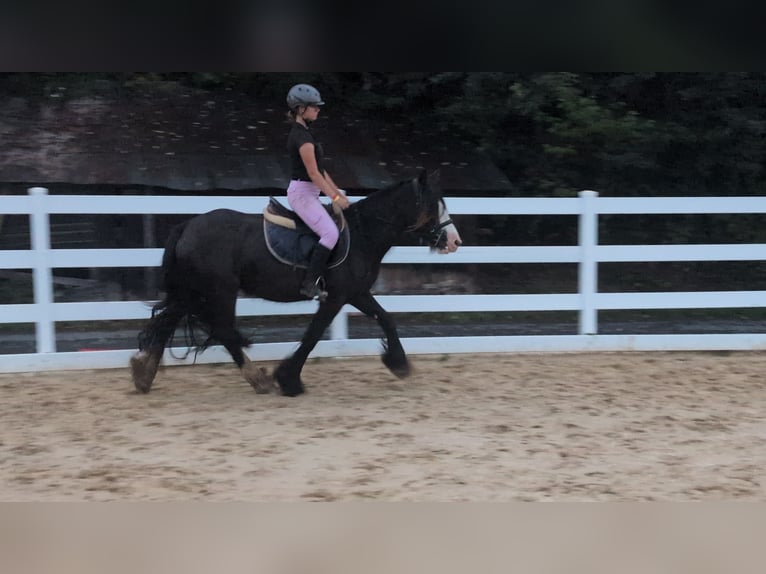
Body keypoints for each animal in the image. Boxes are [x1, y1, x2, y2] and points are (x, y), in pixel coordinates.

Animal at [130, 169, 462, 397]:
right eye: (433, 205)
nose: (454, 241)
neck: (363, 234)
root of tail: (187, 225)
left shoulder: (355, 293)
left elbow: (386, 318)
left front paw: (398, 363)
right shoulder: (336, 296)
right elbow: (313, 335)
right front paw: (289, 379)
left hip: (193, 291)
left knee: (169, 321)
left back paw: (143, 374)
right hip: (217, 291)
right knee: (221, 329)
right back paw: (258, 379)